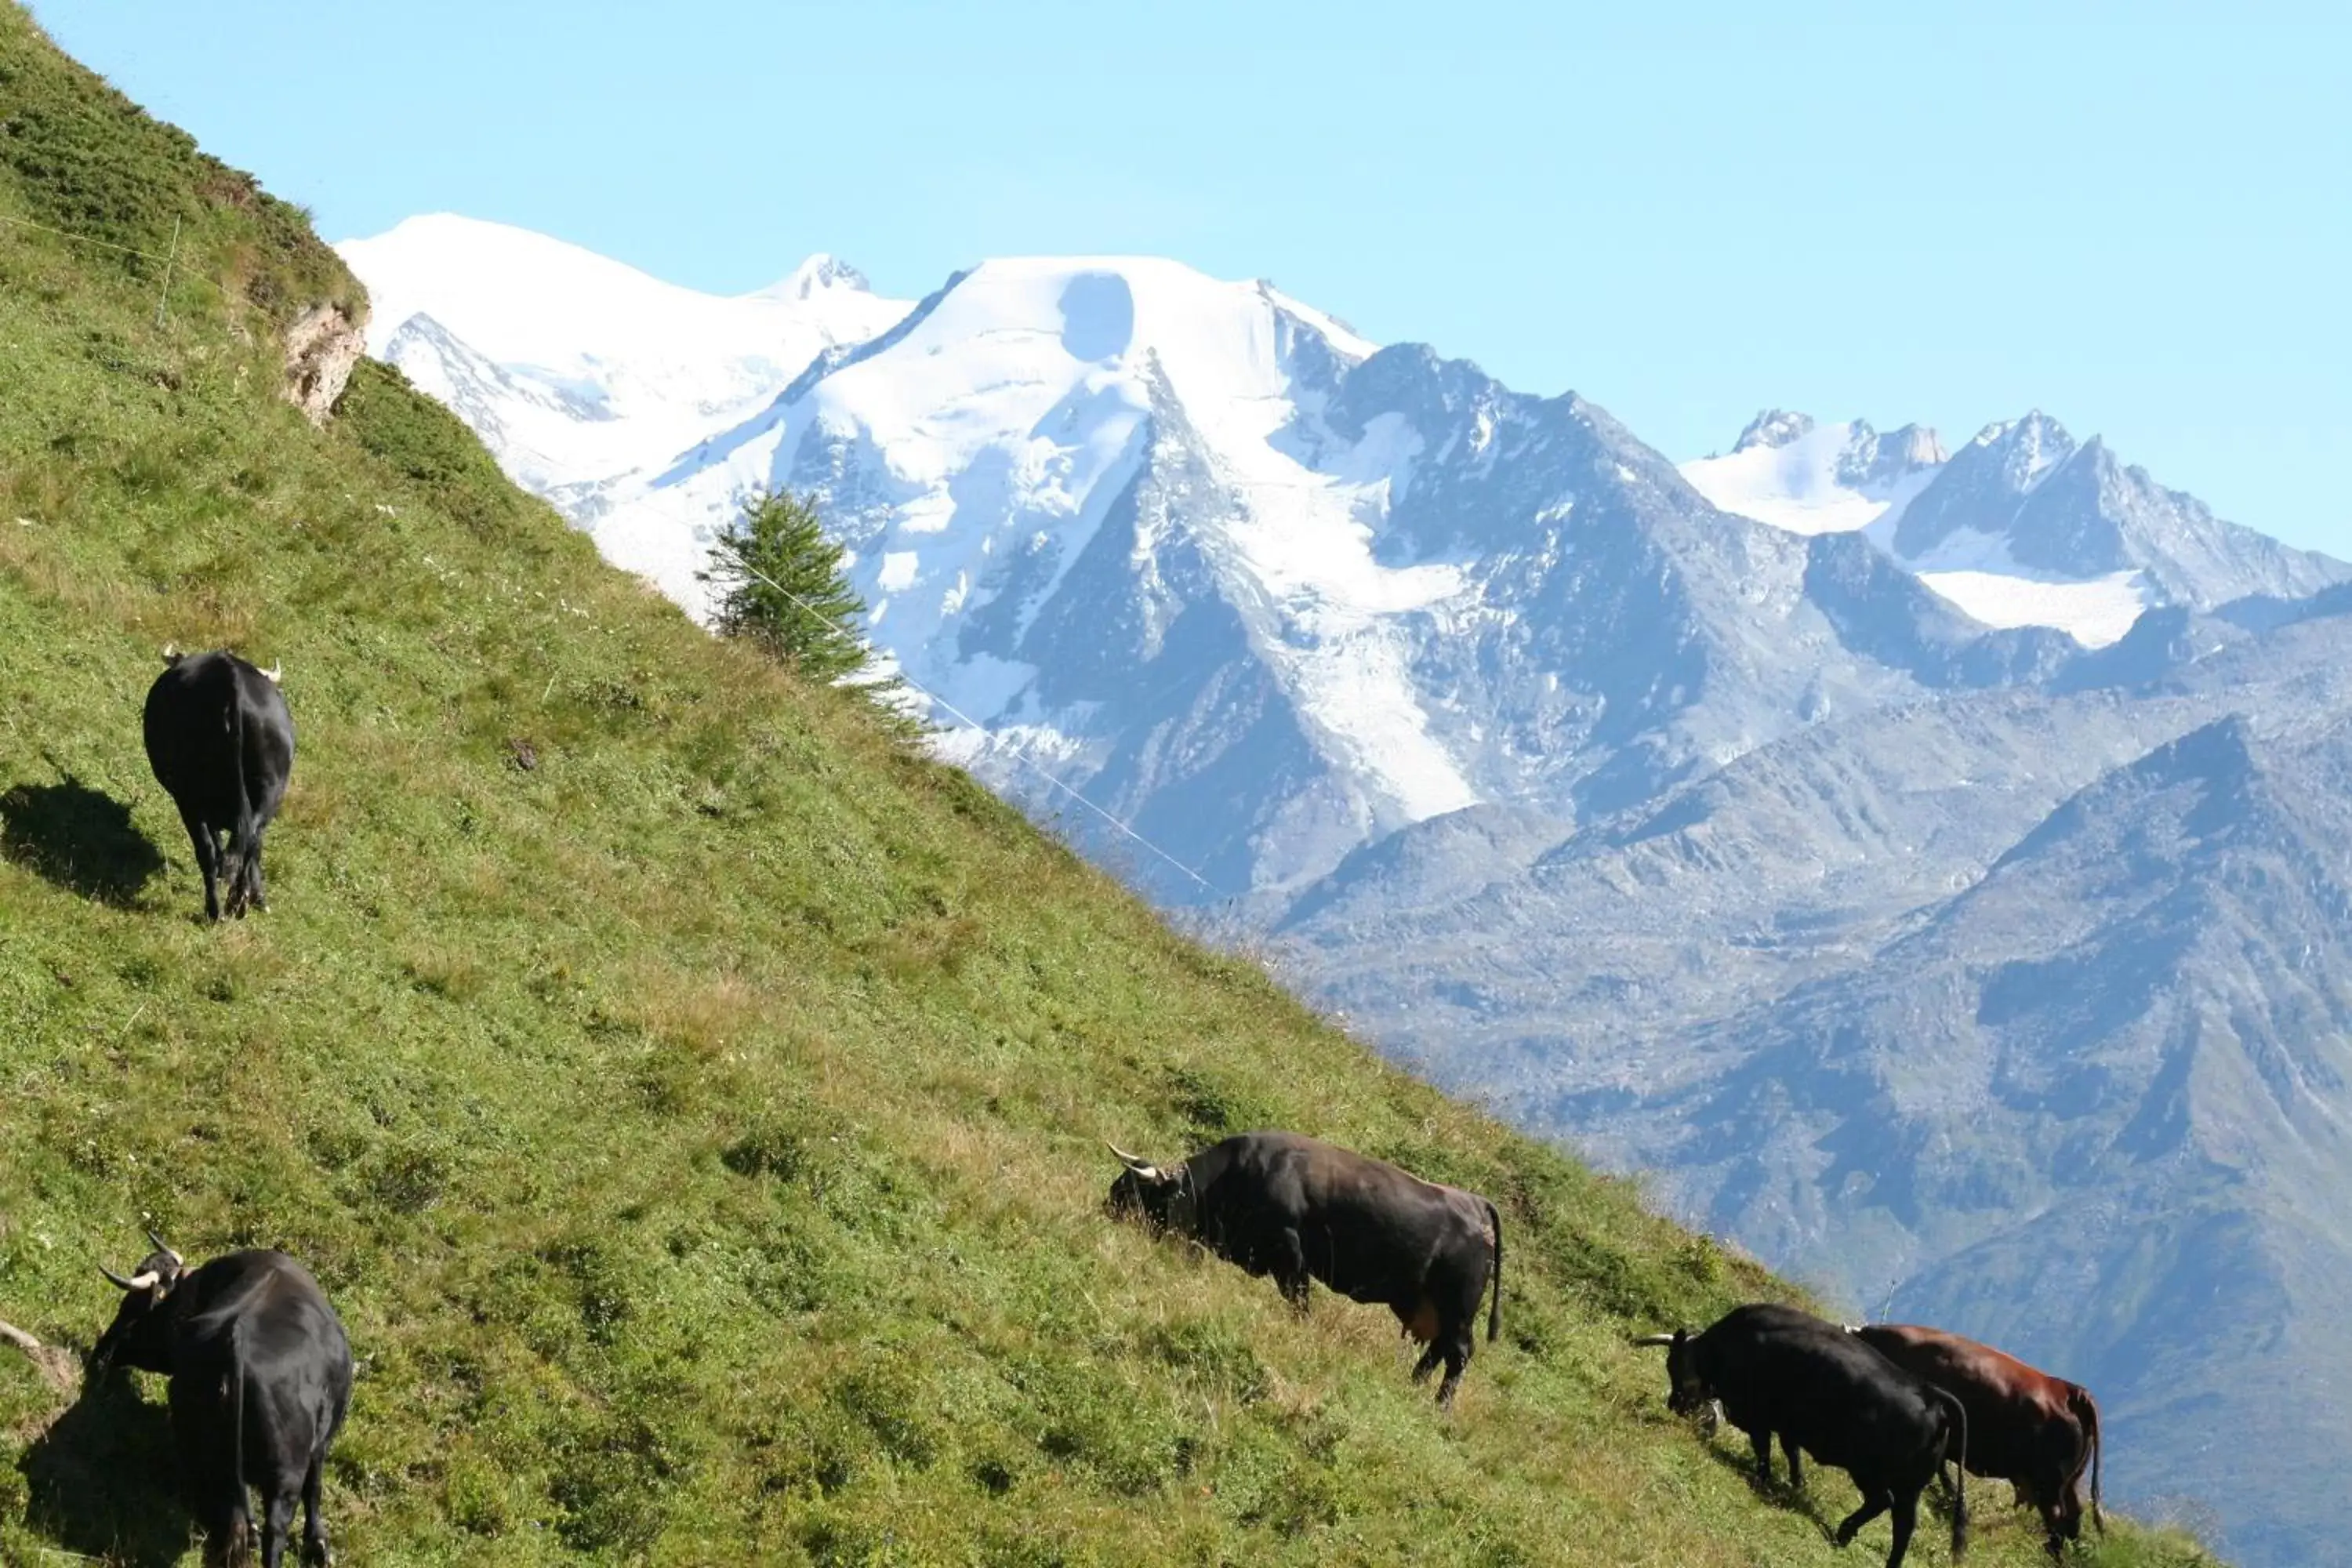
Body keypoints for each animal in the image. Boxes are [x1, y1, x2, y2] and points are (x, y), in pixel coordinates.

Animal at [93, 1232, 353, 1561]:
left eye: (135, 1308)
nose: (101, 1354)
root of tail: (234, 1339)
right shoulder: (322, 1441)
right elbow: (315, 1485)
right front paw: (317, 1542)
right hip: (285, 1476)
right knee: (274, 1531)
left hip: (204, 1461)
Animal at [143, 648, 292, 926]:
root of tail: (230, 680)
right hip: (268, 792)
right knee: (247, 844)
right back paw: (238, 902)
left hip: (189, 798)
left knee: (210, 851)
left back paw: (216, 910)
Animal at [1105, 1128, 1505, 1410]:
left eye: (1136, 1190)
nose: (1106, 1207)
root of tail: (1477, 1203)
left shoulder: (1290, 1253)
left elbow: (1299, 1302)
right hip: (1437, 1308)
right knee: (1438, 1350)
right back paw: (1414, 1385)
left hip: (1458, 1308)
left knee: (1458, 1354)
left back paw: (1440, 1406)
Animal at [1637, 1298, 1966, 1568]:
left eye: (1672, 1365)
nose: (1673, 1404)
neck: (1728, 1344)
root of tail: (1930, 1394)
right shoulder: (1789, 1426)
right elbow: (1791, 1453)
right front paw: (1797, 1484)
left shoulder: (1759, 1416)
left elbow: (1763, 1449)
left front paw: (1764, 1478)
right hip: (1908, 1486)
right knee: (1900, 1520)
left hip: (1873, 1473)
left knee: (1888, 1507)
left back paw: (1851, 1536)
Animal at [1844, 1326, 2107, 1561]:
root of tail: (2070, 1391)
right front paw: (1949, 1495)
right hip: (2068, 1482)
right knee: (2074, 1514)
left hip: (2049, 1483)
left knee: (2056, 1517)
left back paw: (2053, 1552)